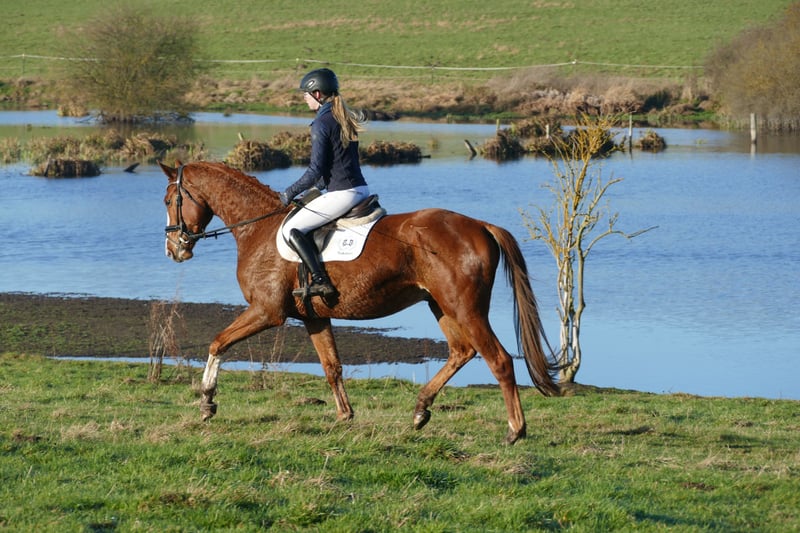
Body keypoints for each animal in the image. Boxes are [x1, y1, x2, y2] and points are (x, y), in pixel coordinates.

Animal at [160, 160, 559, 444]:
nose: (173, 250)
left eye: (168, 200)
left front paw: (207, 401)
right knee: (462, 352)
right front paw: (344, 416)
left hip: (465, 307)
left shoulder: (267, 312)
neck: (259, 228)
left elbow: (217, 342)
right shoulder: (313, 317)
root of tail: (480, 225)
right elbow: (331, 366)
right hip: (441, 306)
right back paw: (420, 410)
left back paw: (514, 430)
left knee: (499, 360)